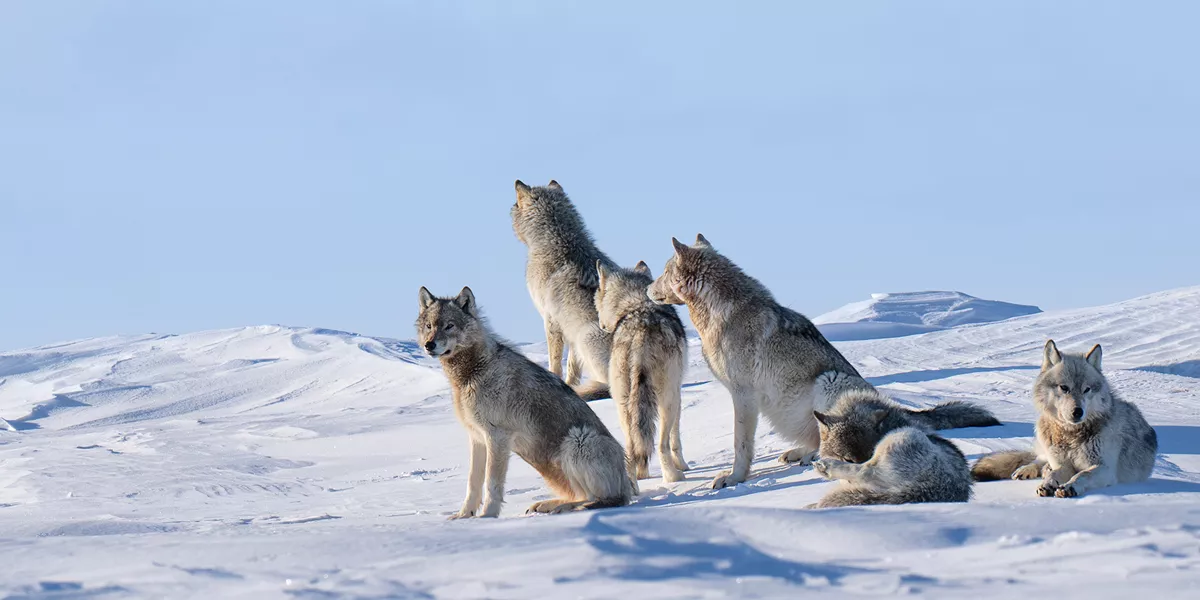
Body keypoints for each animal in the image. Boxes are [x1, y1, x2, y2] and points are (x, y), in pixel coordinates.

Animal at [416, 286, 634, 517]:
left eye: (449, 326)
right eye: (429, 326)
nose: (429, 345)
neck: (471, 373)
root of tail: (627, 485)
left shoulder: (497, 437)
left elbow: (491, 484)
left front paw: (488, 516)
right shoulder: (476, 438)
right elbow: (472, 483)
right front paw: (464, 517)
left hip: (578, 440)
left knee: (601, 499)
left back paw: (564, 508)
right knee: (583, 496)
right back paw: (548, 505)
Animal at [511, 180, 615, 400]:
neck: (559, 241)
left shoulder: (551, 320)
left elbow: (555, 362)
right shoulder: (569, 327)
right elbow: (572, 367)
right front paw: (568, 385)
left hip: (587, 336)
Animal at [595, 260, 690, 484]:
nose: (601, 325)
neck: (636, 302)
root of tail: (640, 333)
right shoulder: (678, 392)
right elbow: (676, 439)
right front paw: (683, 465)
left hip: (623, 403)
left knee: (632, 447)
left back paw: (635, 482)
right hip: (667, 400)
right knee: (662, 444)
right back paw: (674, 477)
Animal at [647, 234, 876, 489]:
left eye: (665, 272)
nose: (647, 288)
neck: (720, 314)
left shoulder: (743, 395)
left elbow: (740, 443)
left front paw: (734, 478)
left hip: (828, 380)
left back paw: (813, 458)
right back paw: (797, 454)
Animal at [970, 340, 1157, 498]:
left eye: (1086, 389)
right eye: (1064, 388)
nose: (1078, 412)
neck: (1070, 436)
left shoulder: (1104, 469)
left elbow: (1082, 475)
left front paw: (1069, 487)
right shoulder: (1063, 465)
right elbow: (1054, 473)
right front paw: (1047, 484)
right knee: (1038, 460)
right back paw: (1025, 470)